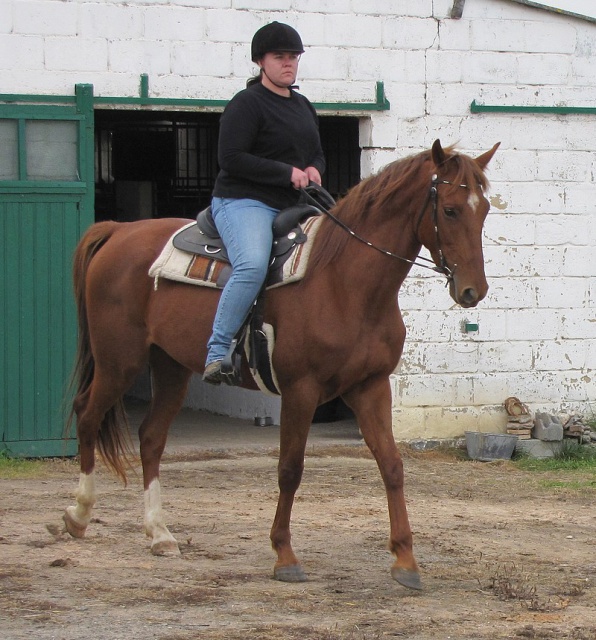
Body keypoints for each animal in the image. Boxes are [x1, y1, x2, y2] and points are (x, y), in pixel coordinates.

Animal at [62, 140, 498, 592]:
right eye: (450, 210)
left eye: (484, 209)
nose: (474, 290)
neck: (343, 282)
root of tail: (117, 231)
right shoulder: (300, 390)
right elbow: (290, 468)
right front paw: (285, 555)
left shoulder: (370, 386)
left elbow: (392, 465)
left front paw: (406, 560)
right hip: (119, 361)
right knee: (87, 415)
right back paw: (78, 515)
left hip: (169, 367)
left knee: (150, 437)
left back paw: (159, 533)